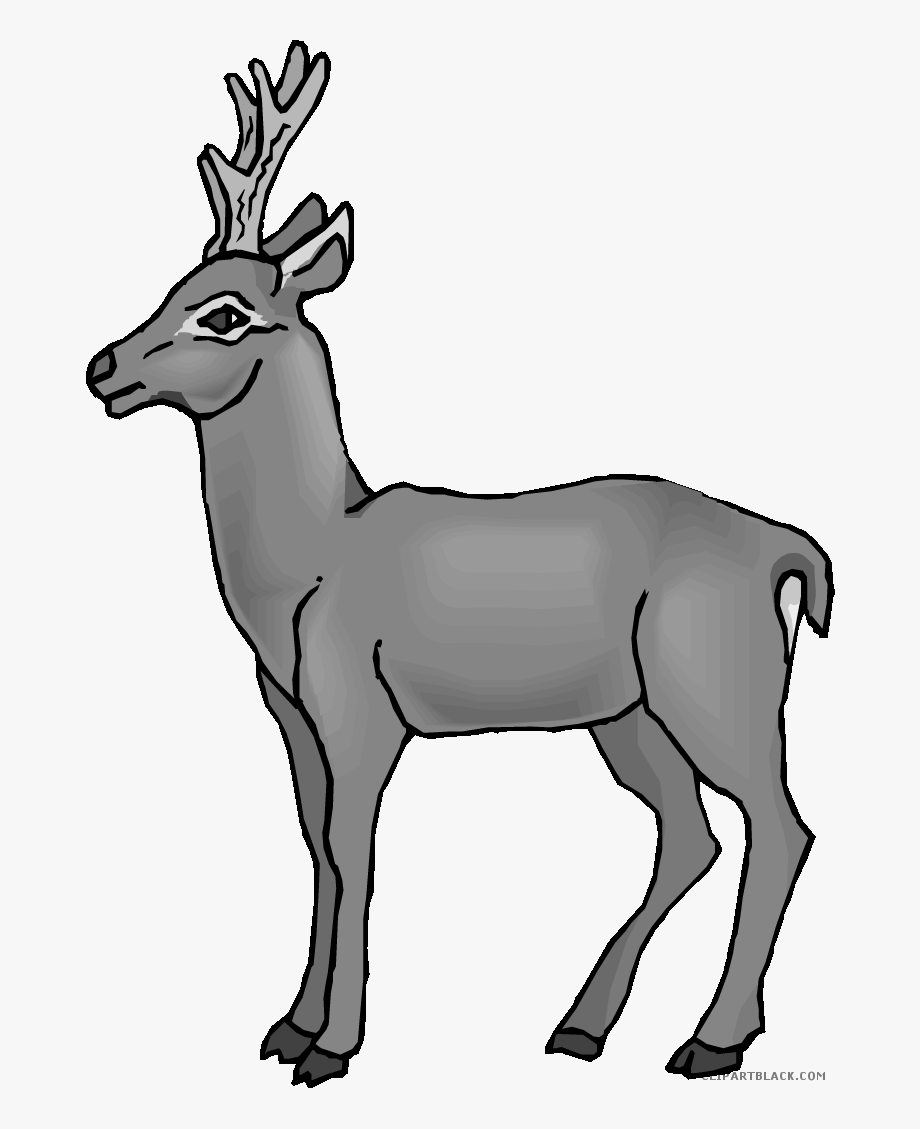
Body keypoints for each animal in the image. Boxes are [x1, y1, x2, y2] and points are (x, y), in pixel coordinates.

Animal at [87, 42, 833, 1087]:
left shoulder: (362, 707)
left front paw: (333, 1048)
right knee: (691, 835)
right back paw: (581, 1026)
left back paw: (711, 1041)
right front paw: (286, 1027)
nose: (103, 367)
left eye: (226, 313)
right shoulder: (293, 715)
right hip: (629, 715)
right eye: (172, 282)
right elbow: (318, 850)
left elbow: (356, 853)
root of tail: (786, 549)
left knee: (782, 824)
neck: (310, 565)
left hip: (720, 686)